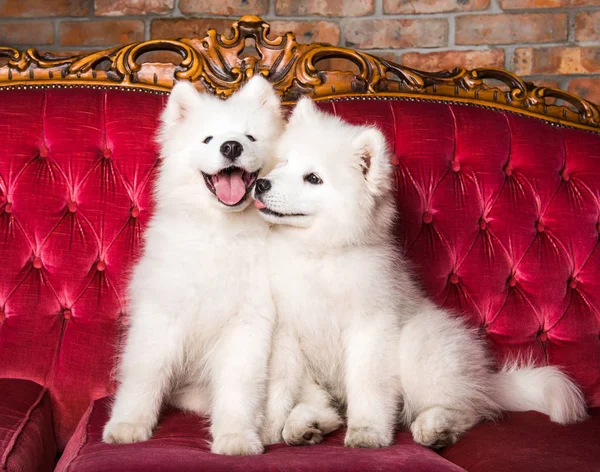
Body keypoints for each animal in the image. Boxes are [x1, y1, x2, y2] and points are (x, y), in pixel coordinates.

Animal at [102, 75, 282, 456]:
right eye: (208, 139)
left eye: (250, 137)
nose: (231, 146)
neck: (220, 231)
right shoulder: (160, 315)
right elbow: (144, 375)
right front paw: (127, 426)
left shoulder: (247, 323)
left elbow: (239, 387)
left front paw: (236, 437)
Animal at [255, 98, 588, 450]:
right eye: (283, 163)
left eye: (313, 178)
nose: (261, 184)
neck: (319, 254)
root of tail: (485, 378)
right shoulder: (284, 332)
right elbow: (278, 384)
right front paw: (266, 430)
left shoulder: (370, 328)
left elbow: (368, 386)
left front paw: (367, 432)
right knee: (325, 407)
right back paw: (306, 425)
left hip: (421, 344)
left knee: (469, 409)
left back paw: (436, 426)